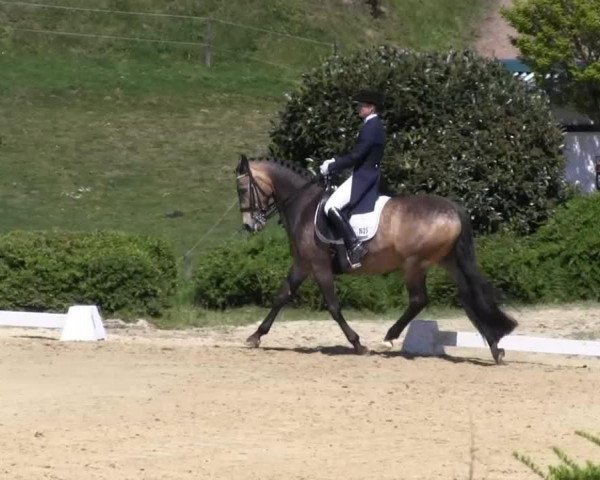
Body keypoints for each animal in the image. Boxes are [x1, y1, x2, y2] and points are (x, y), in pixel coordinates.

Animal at [234, 156, 516, 362]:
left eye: (243, 189)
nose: (249, 225)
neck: (303, 206)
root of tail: (453, 208)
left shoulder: (319, 266)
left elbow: (333, 307)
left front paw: (357, 343)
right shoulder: (302, 265)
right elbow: (281, 296)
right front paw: (255, 336)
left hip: (414, 263)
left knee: (419, 300)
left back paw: (389, 336)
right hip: (448, 261)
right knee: (470, 296)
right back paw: (495, 347)